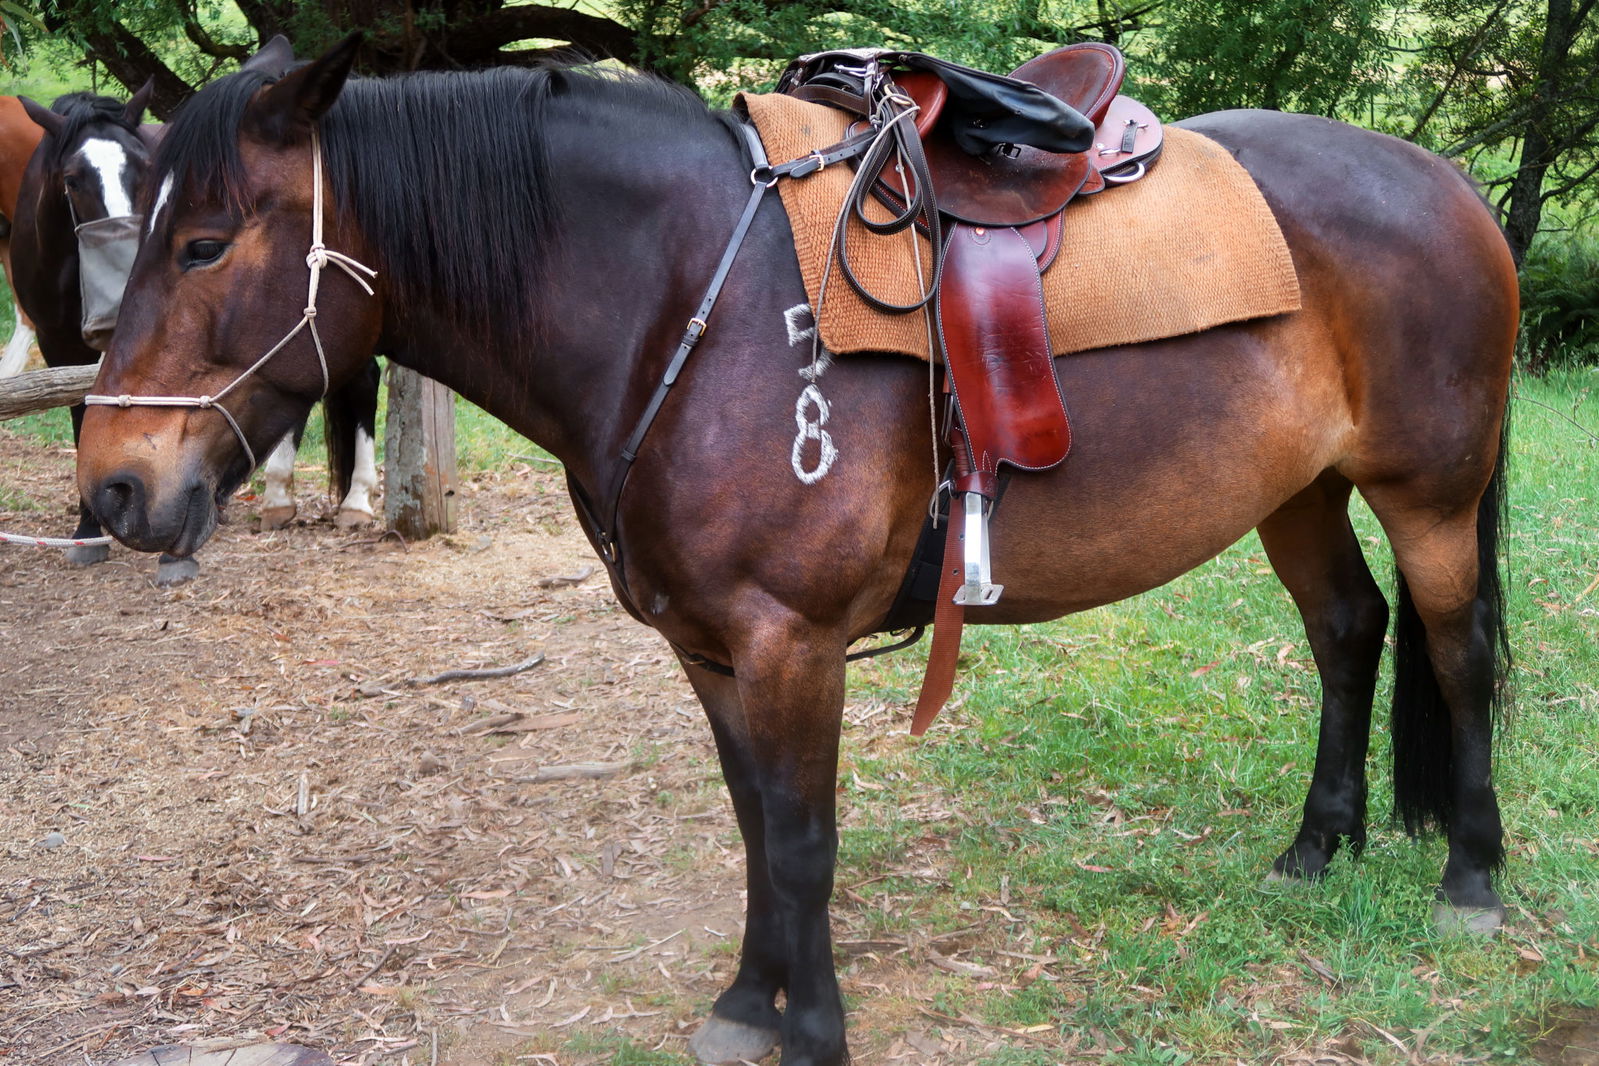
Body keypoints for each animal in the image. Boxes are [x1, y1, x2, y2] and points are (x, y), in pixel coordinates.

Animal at [12, 87, 381, 582]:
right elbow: (86, 420)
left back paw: (356, 498)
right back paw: (277, 496)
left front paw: (173, 552)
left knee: (360, 380)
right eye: (71, 180)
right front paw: (89, 528)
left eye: (143, 170)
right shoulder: (59, 345)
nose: (119, 298)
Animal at [76, 37, 1517, 1066]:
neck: (686, 305)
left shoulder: (790, 640)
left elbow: (808, 834)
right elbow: (755, 823)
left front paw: (812, 1029)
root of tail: (1446, 181)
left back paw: (1471, 876)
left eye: (204, 242)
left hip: (1428, 498)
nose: (113, 487)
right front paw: (744, 999)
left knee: (1455, 656)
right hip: (1299, 492)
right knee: (1348, 632)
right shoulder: (710, 648)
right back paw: (1316, 845)